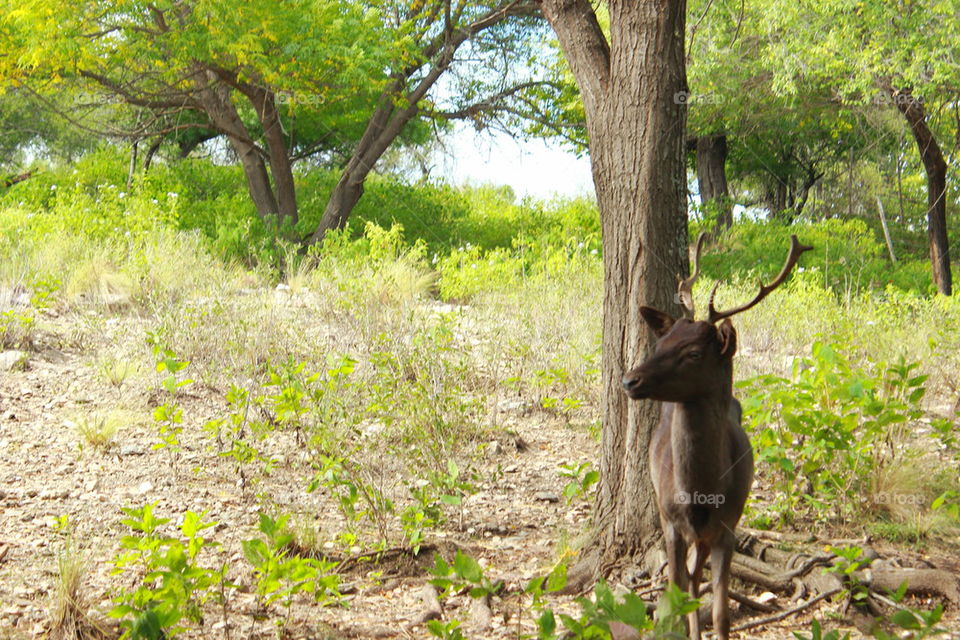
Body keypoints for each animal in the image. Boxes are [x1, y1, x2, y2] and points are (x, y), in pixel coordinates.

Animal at [621, 234, 812, 640]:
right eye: (661, 344)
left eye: (694, 353)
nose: (630, 380)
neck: (701, 493)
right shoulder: (671, 524)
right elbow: (675, 600)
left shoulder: (728, 527)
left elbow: (722, 612)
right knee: (690, 582)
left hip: (712, 533)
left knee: (697, 579)